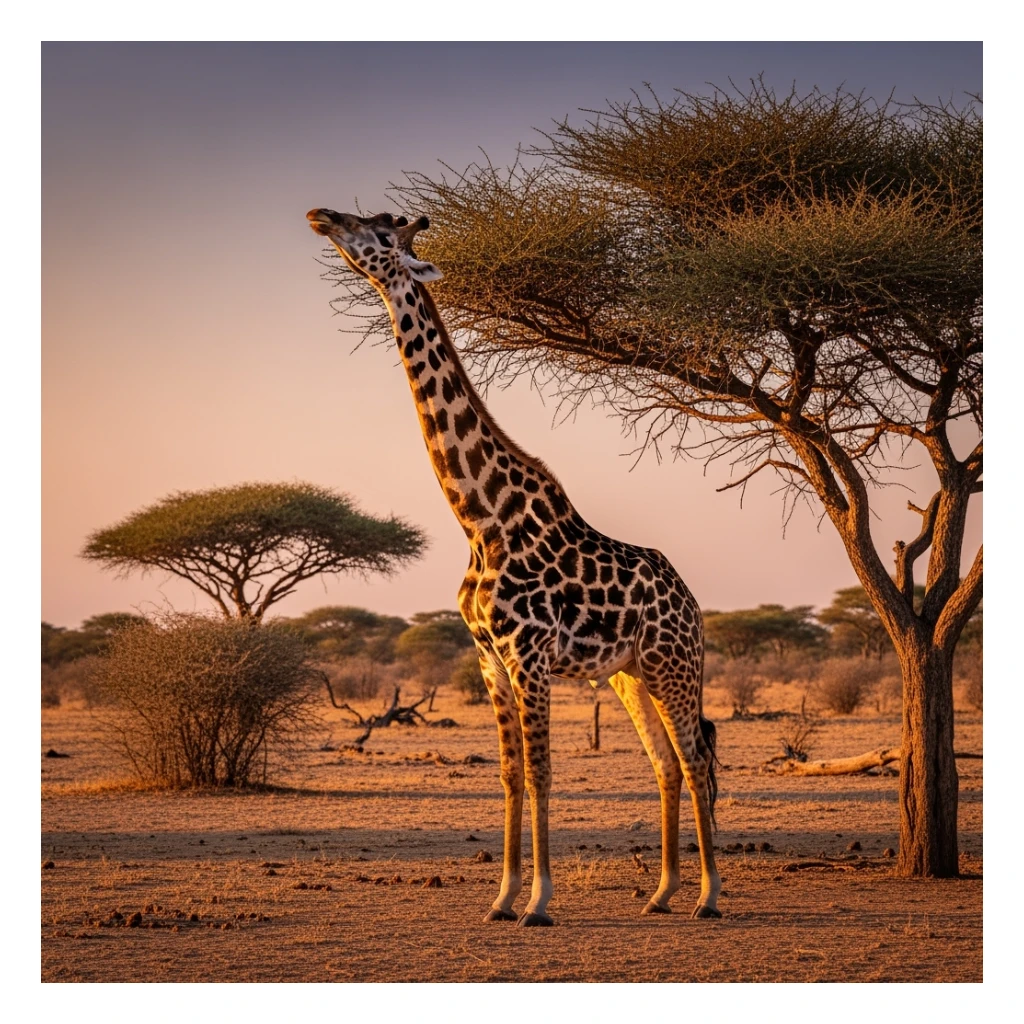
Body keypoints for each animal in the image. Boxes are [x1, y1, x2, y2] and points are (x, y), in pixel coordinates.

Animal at [307, 208, 722, 925]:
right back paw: (662, 892)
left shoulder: (529, 656)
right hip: (630, 674)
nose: (321, 216)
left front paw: (540, 902)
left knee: (696, 759)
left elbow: (543, 770)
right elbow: (509, 775)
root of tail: (691, 601)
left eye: (383, 233)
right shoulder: (490, 659)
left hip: (675, 664)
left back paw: (708, 897)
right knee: (666, 764)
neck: (480, 518)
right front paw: (501, 898)